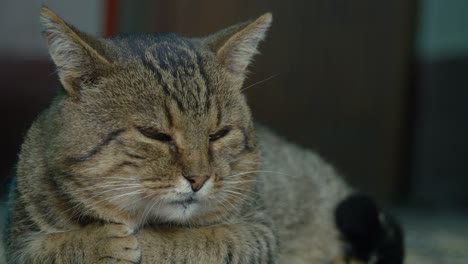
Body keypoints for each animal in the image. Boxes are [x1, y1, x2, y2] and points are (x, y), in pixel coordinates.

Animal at [2, 7, 402, 262]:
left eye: (219, 133)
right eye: (155, 135)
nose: (198, 179)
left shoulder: (259, 231)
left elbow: (206, 240)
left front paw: (146, 243)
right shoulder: (13, 236)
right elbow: (45, 249)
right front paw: (96, 243)